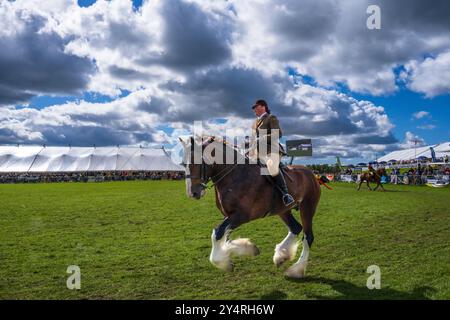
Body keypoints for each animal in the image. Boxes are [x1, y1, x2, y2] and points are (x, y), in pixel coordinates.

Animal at [178, 136, 322, 278]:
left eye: (196, 163)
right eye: (183, 164)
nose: (192, 193)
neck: (233, 176)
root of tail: (310, 173)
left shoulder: (241, 216)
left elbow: (217, 233)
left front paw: (223, 263)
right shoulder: (229, 216)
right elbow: (226, 238)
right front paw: (249, 249)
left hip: (307, 207)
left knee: (308, 236)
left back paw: (296, 270)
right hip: (283, 210)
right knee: (295, 228)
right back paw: (281, 256)